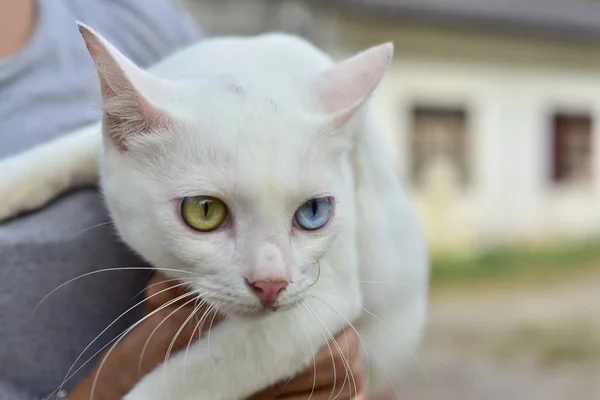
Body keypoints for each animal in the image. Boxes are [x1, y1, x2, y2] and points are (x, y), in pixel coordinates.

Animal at [1, 25, 432, 400]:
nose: (271, 282)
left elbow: (192, 378)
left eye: (313, 212)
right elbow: (60, 153)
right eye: (204, 211)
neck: (250, 68)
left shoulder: (321, 299)